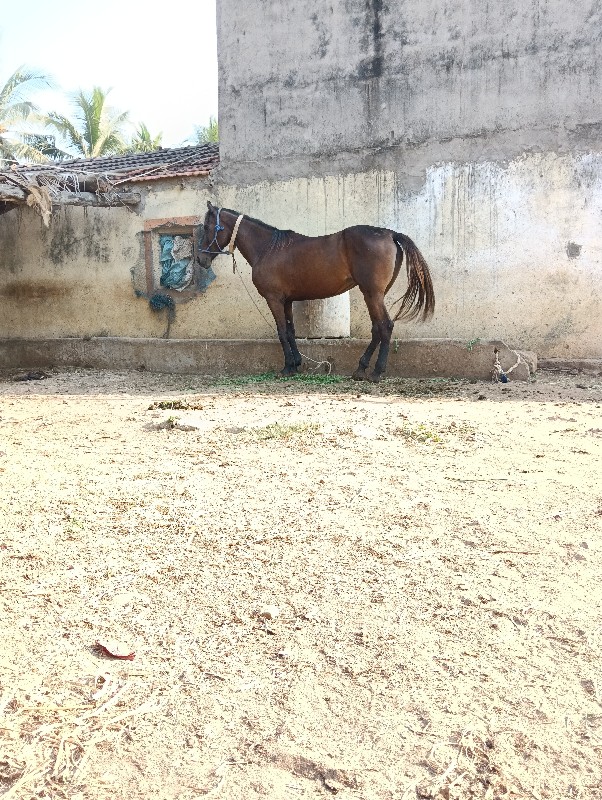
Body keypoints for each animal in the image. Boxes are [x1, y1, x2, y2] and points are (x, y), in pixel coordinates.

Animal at [199, 205, 434, 382]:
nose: (201, 259)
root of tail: (390, 234)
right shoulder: (286, 301)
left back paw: (376, 372)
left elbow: (281, 332)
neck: (268, 248)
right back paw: (360, 369)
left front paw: (287, 368)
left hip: (372, 293)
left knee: (384, 326)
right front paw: (296, 364)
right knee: (377, 328)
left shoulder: (274, 300)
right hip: (374, 295)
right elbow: (290, 332)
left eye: (207, 227)